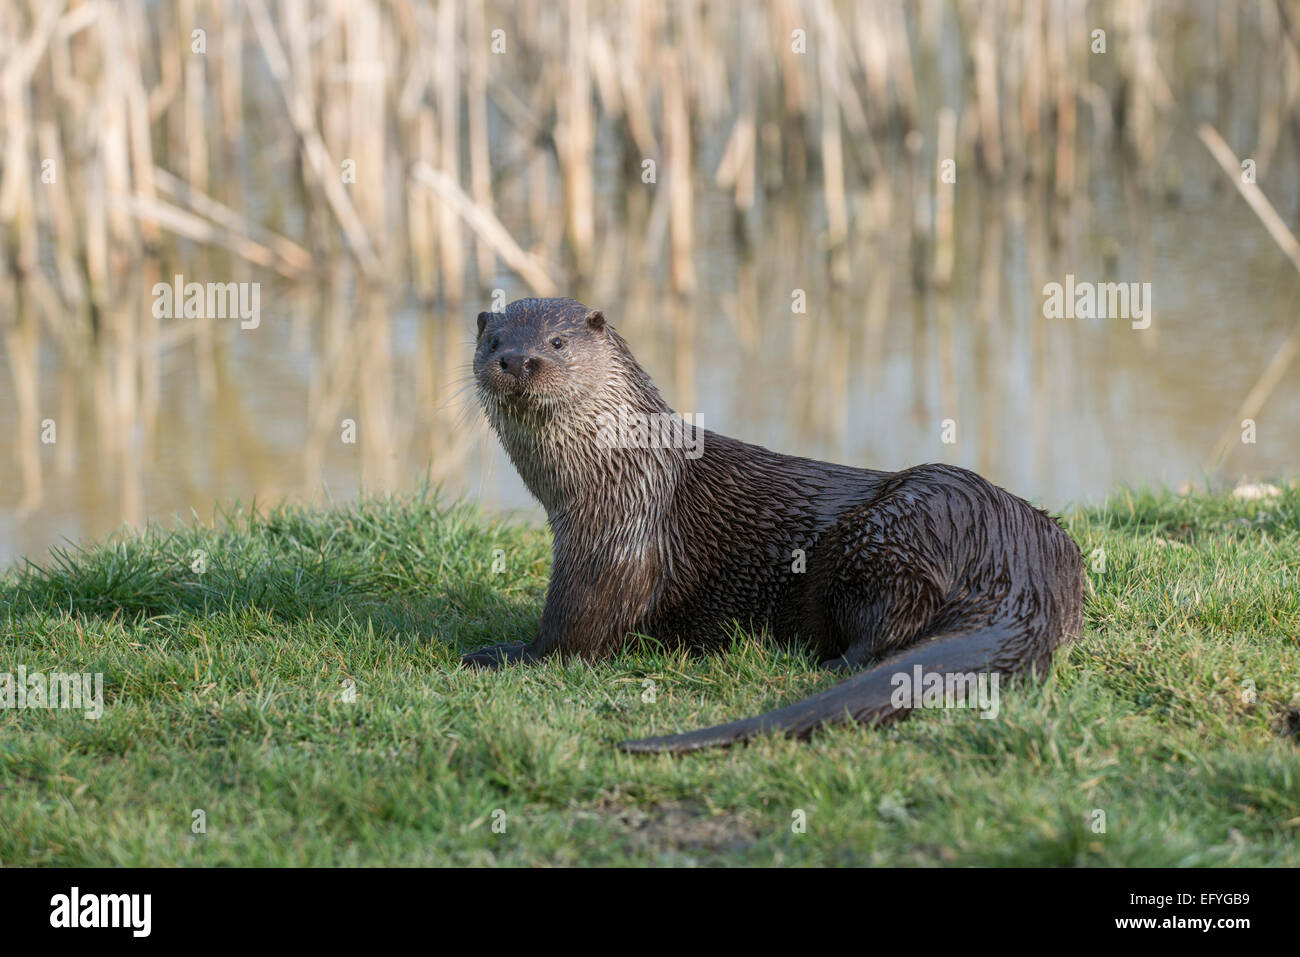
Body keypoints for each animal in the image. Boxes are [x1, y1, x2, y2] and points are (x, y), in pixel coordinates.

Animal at [465, 299, 1086, 754]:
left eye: (557, 343)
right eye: (493, 342)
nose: (517, 360)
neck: (625, 467)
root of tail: (1015, 552)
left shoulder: (614, 543)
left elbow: (573, 632)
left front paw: (502, 653)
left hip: (887, 533)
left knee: (893, 620)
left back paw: (824, 661)